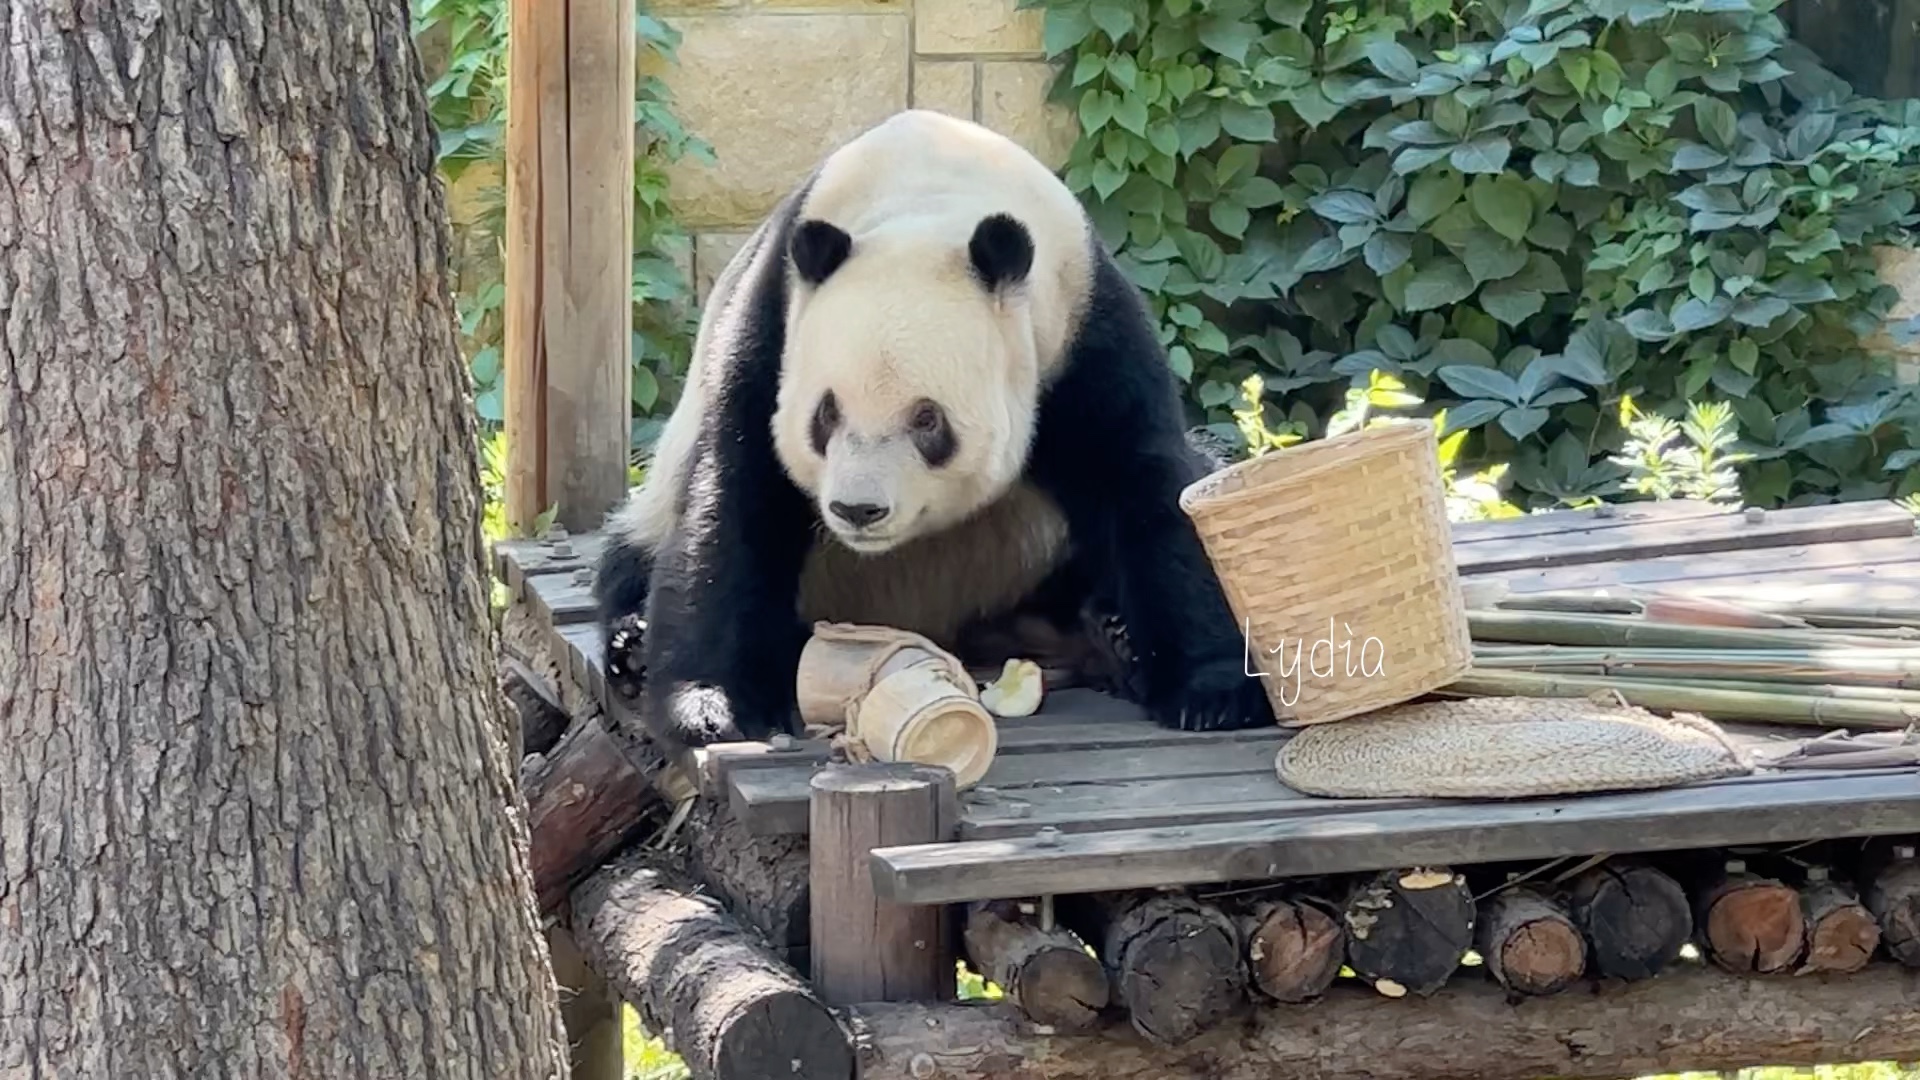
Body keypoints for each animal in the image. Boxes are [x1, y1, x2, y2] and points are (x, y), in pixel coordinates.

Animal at [587, 109, 1274, 749]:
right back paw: (635, 645)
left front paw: (1213, 690)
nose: (857, 509)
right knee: (633, 555)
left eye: (927, 419)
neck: (931, 201)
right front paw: (712, 707)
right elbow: (735, 495)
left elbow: (1144, 480)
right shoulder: (774, 324)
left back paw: (1111, 634)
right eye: (825, 414)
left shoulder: (1081, 327)